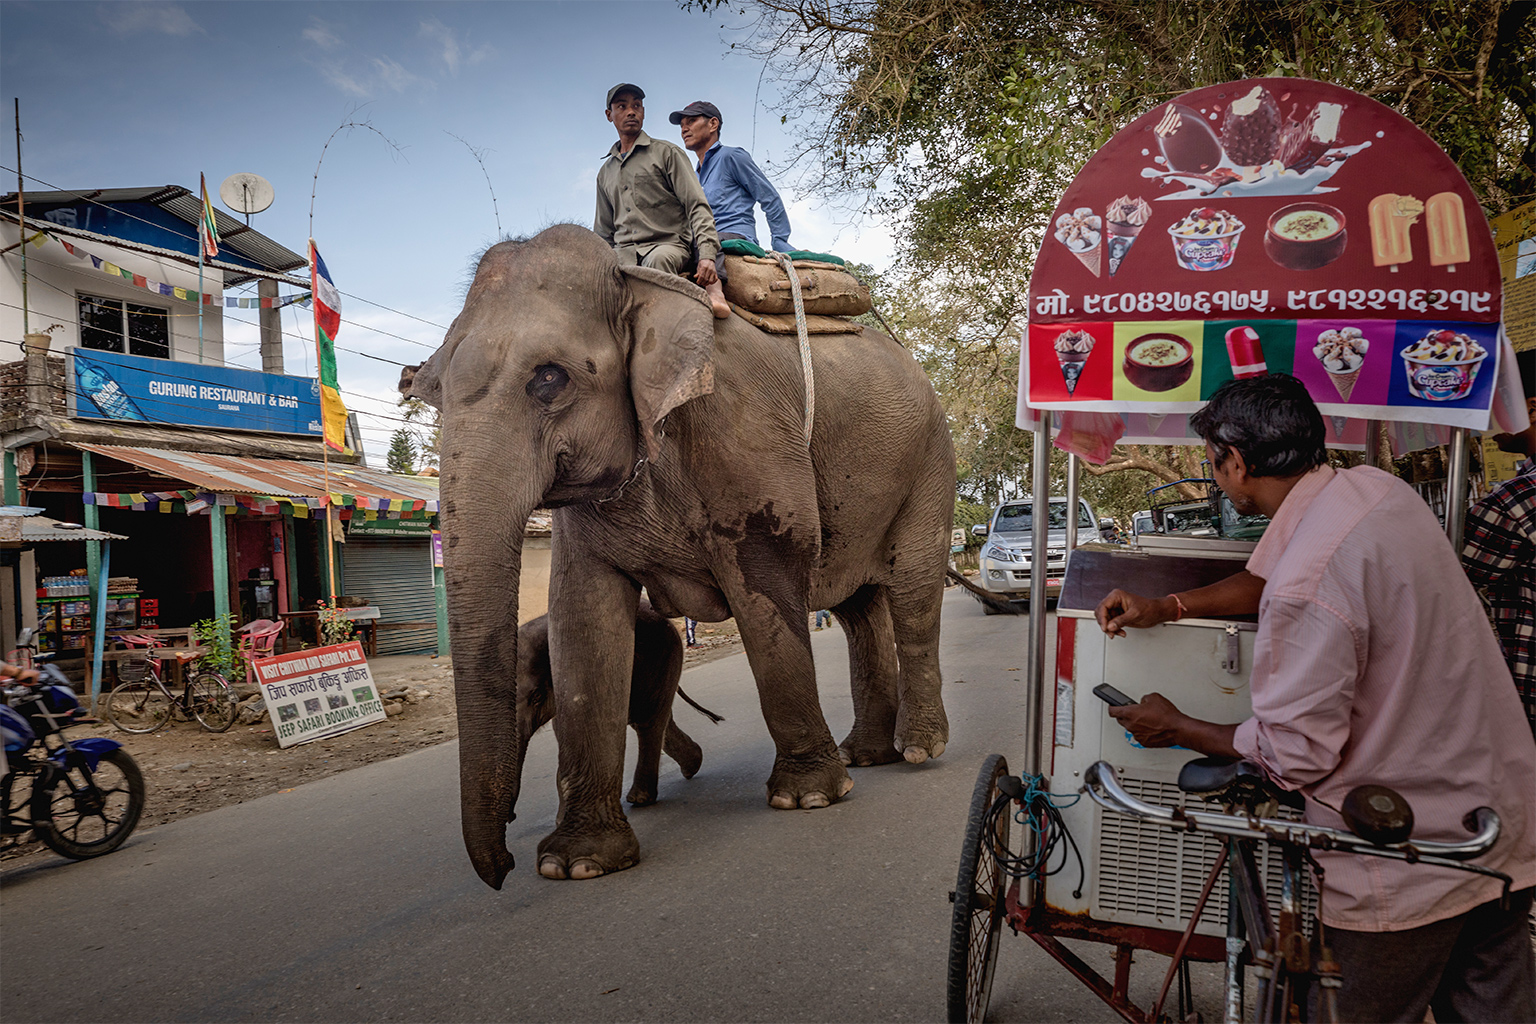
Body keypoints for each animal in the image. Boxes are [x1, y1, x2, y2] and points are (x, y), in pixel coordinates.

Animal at [513, 601, 709, 810]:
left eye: (537, 696)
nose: (513, 815)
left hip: (664, 653)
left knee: (648, 720)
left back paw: (640, 798)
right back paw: (692, 766)